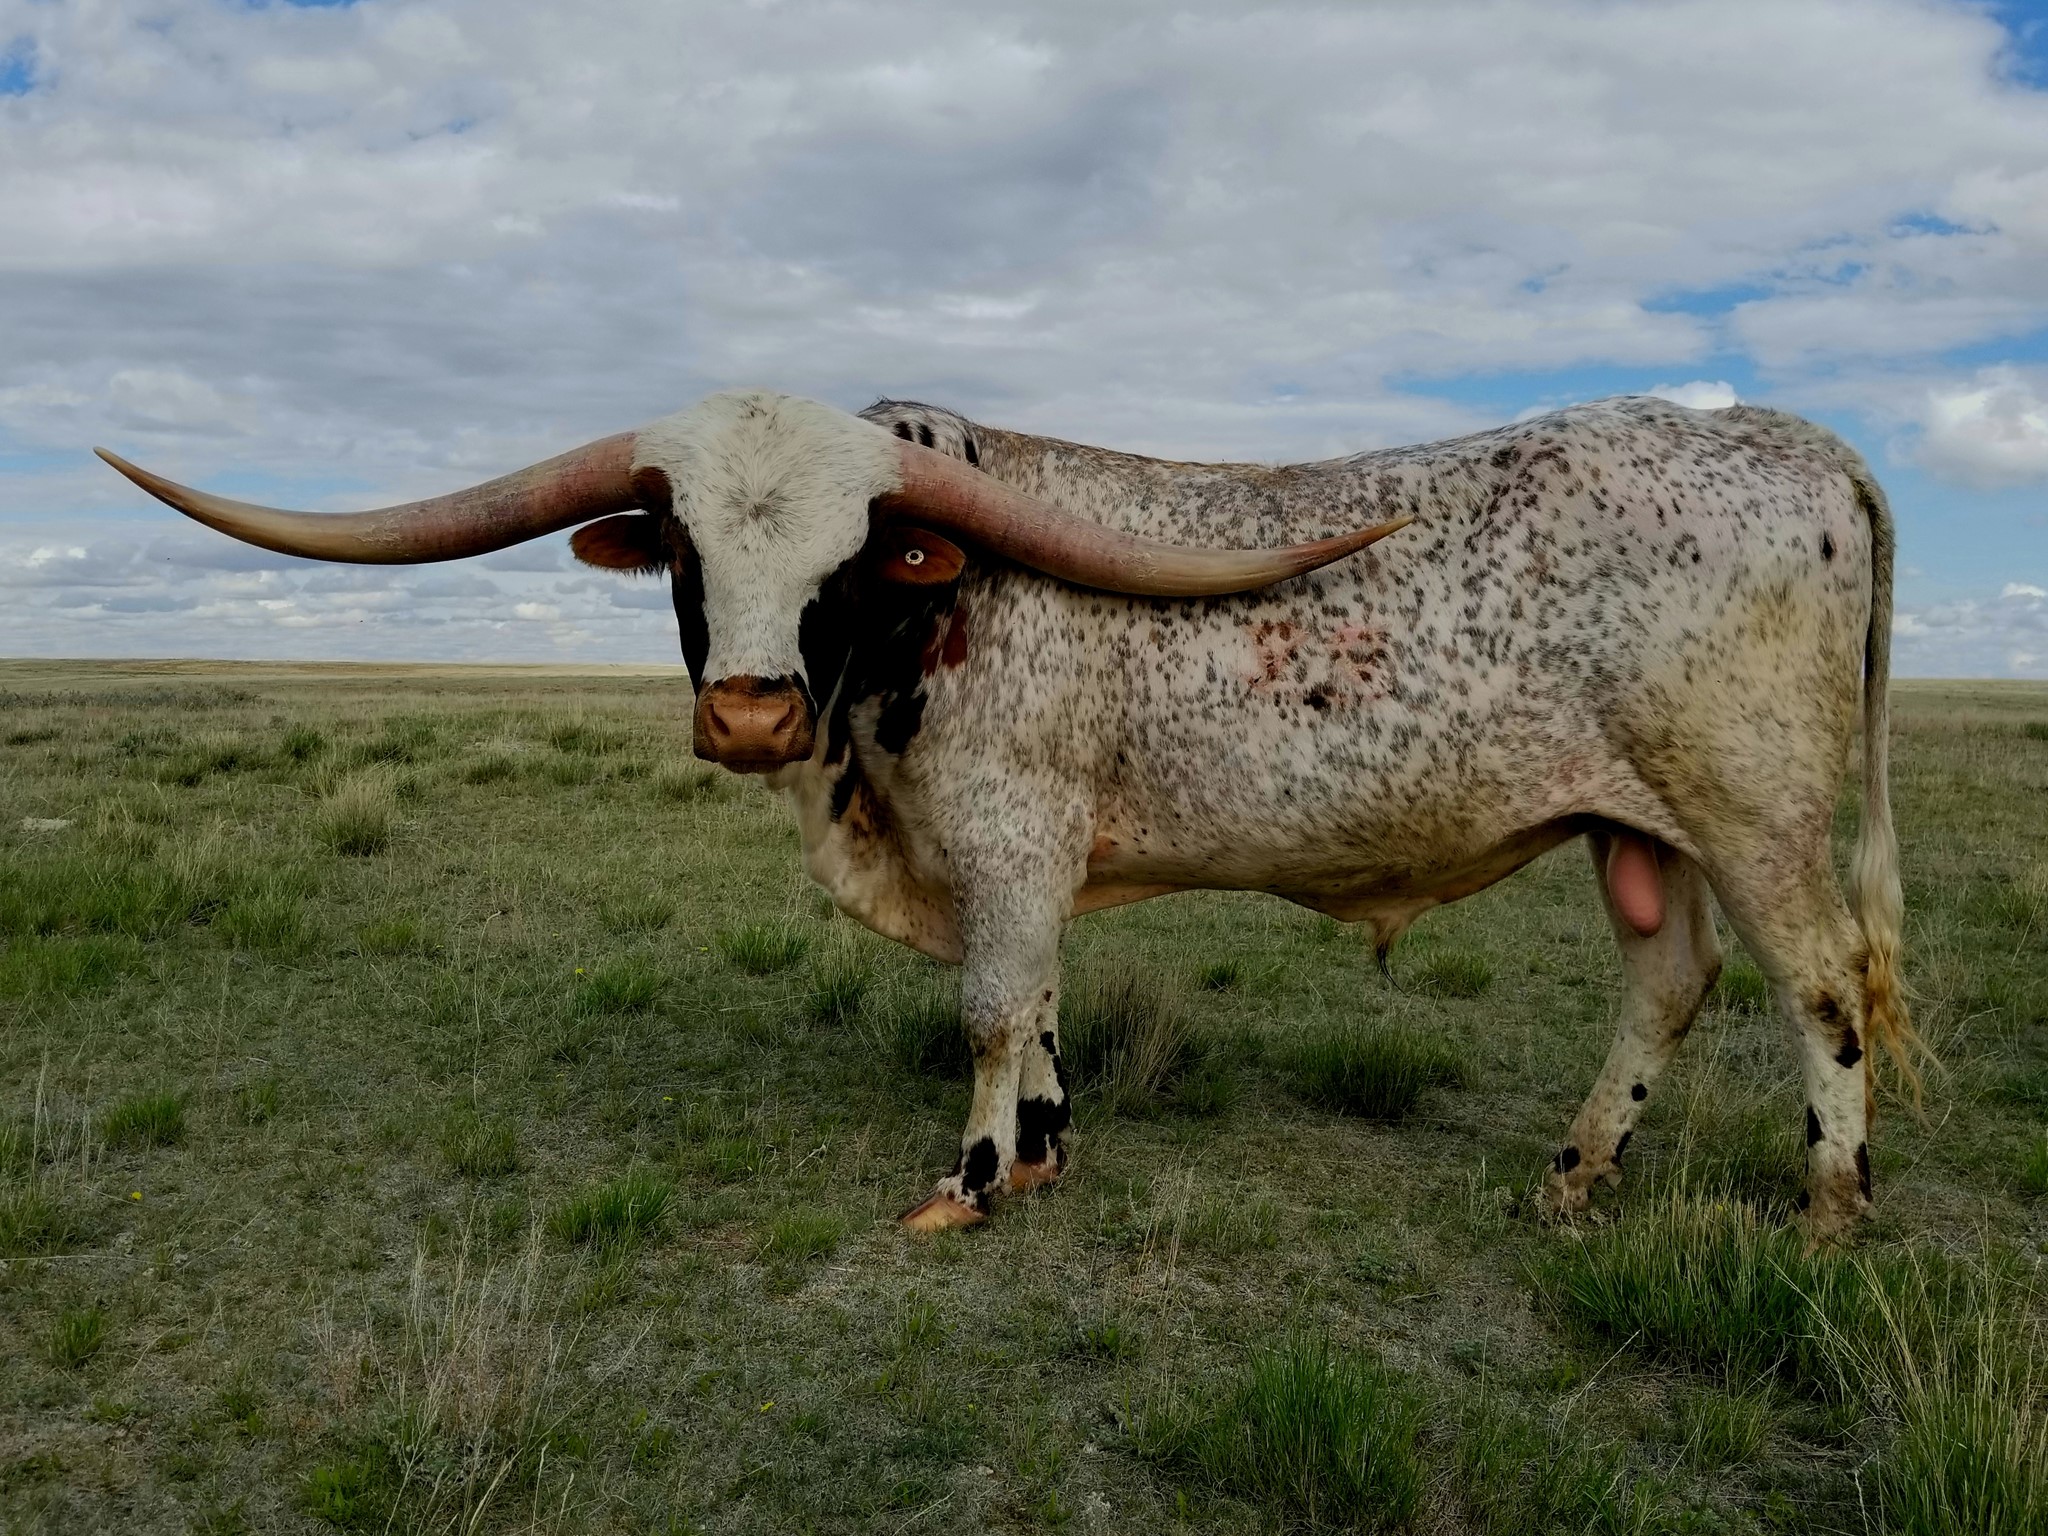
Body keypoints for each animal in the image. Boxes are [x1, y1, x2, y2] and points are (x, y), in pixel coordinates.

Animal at [98, 387, 1920, 1240]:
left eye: (850, 554)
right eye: (680, 541)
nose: (749, 712)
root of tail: (1798, 443)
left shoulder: (1005, 836)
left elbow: (988, 1002)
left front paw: (968, 1182)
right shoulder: (1022, 863)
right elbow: (1037, 1004)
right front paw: (1040, 1150)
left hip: (1753, 808)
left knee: (1821, 986)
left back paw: (1829, 1205)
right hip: (1648, 827)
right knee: (1667, 981)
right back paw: (1574, 1171)